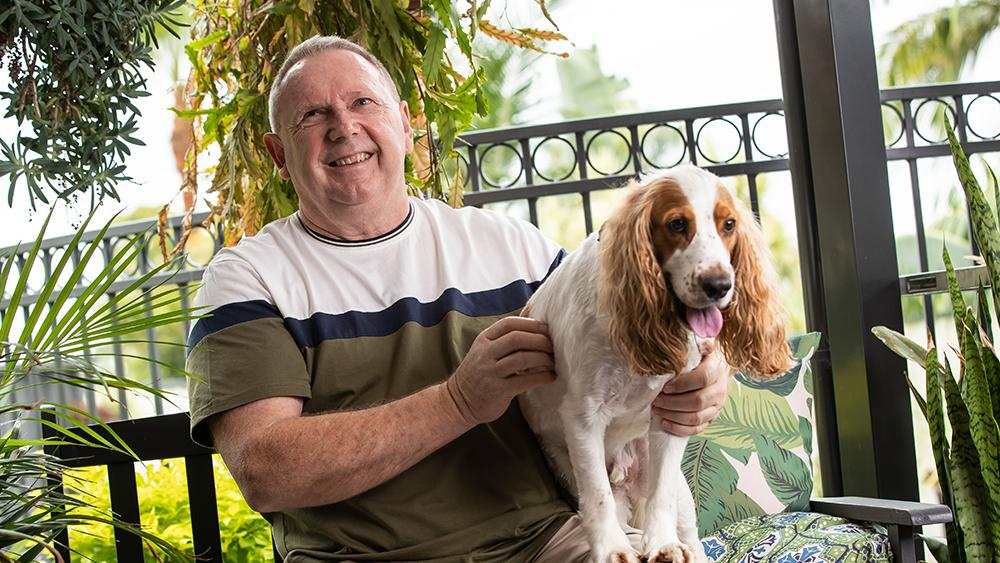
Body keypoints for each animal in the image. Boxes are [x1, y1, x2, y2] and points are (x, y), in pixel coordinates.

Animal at [516, 165, 788, 563]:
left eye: (729, 224)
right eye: (676, 224)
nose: (719, 285)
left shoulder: (671, 413)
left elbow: (661, 496)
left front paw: (662, 544)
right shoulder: (583, 417)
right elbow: (597, 496)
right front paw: (612, 549)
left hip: (682, 492)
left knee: (686, 527)